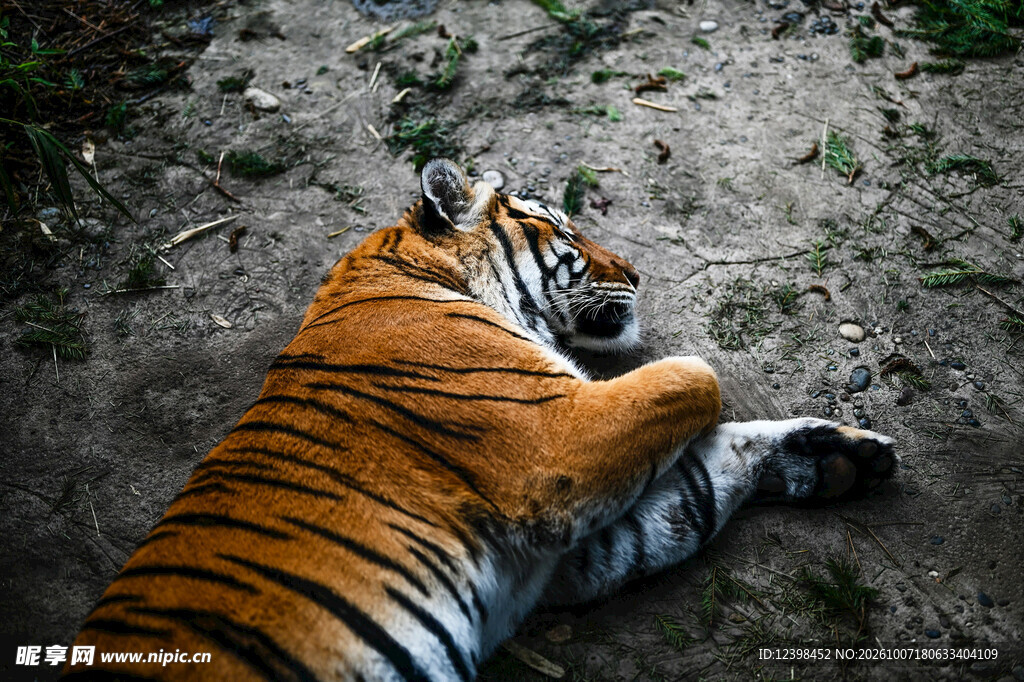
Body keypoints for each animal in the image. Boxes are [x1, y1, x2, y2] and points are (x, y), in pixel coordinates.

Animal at [63, 158, 895, 681]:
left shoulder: (549, 556)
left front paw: (835, 457)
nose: (636, 272)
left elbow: (700, 486)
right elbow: (700, 376)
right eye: (568, 233)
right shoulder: (554, 451)